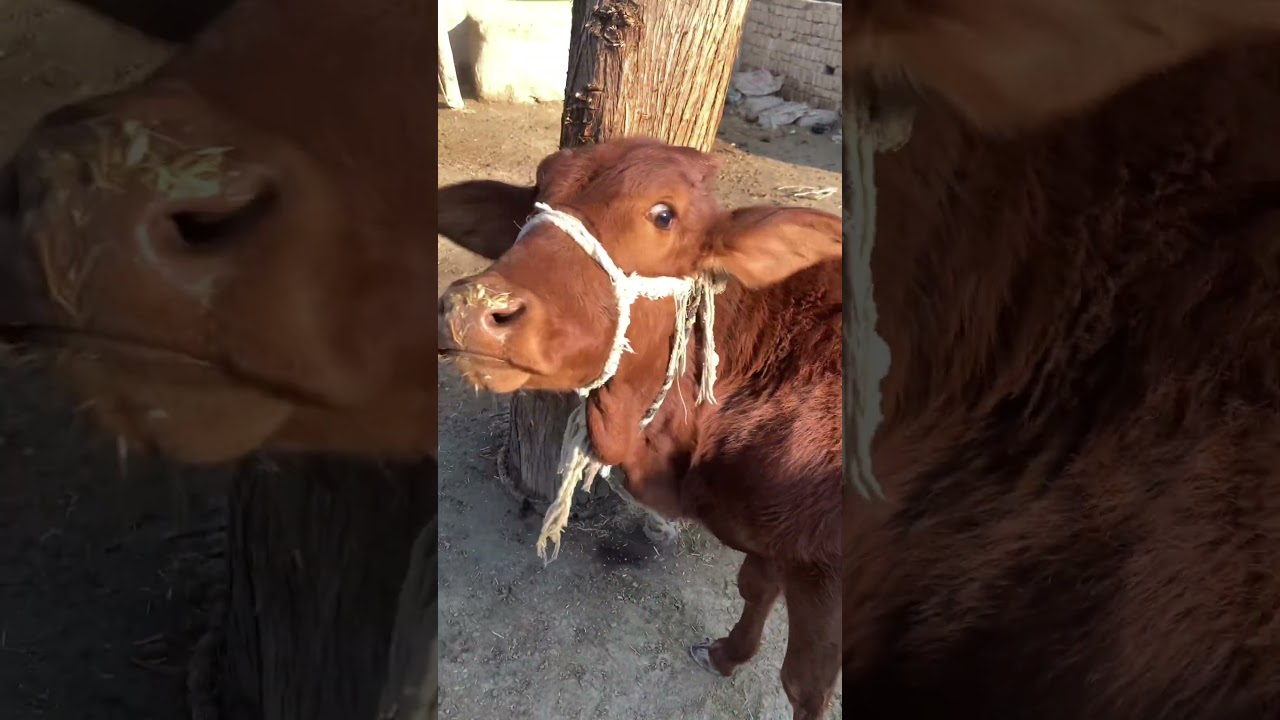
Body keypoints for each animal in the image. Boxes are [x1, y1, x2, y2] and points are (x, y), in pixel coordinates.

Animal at [436, 137, 844, 720]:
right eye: (537, 193)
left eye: (664, 214)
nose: (474, 308)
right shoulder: (768, 534)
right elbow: (755, 587)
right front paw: (726, 654)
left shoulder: (824, 569)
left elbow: (804, 684)